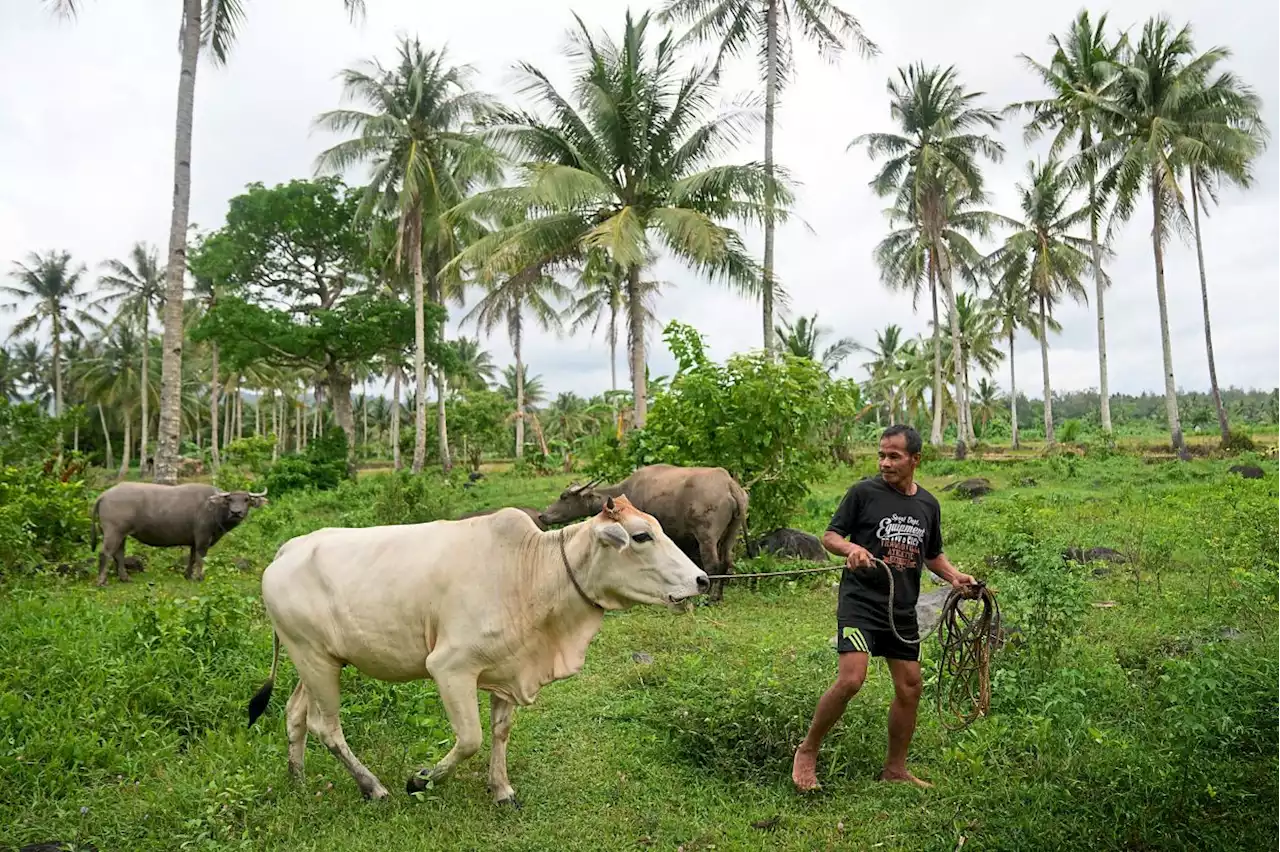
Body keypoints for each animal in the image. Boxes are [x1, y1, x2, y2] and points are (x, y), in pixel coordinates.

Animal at [93, 478, 270, 583]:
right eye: (230, 499)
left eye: (246, 499)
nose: (236, 512)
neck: (214, 508)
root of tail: (105, 495)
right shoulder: (203, 538)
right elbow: (200, 557)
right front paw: (199, 577)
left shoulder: (193, 540)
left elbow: (191, 558)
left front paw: (188, 575)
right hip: (113, 531)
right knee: (105, 553)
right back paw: (102, 581)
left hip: (122, 534)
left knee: (118, 554)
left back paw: (125, 578)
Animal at [247, 491, 711, 803]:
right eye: (641, 537)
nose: (703, 580)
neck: (531, 571)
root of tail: (288, 548)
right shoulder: (450, 668)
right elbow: (470, 738)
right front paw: (421, 779)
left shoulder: (508, 671)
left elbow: (500, 733)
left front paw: (501, 789)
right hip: (314, 659)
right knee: (326, 727)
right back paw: (372, 787)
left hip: (318, 660)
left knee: (296, 715)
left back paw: (298, 781)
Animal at [535, 465, 747, 596]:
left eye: (564, 497)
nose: (543, 516)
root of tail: (730, 485)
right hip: (732, 532)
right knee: (727, 562)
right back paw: (718, 597)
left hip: (707, 536)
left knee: (713, 564)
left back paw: (707, 598)